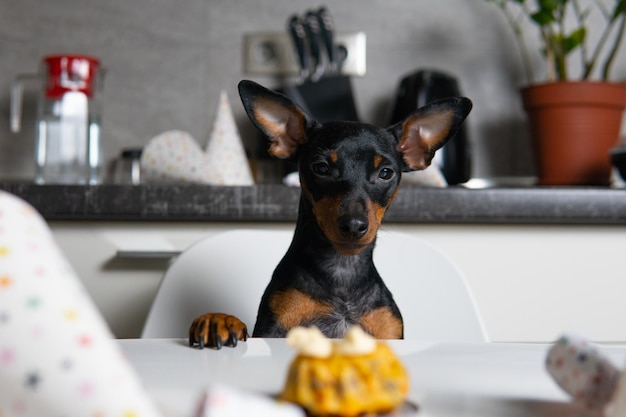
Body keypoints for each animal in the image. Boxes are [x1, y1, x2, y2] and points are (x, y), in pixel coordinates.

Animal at [188, 79, 470, 348]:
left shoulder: (389, 332)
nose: (354, 225)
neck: (342, 271)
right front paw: (220, 321)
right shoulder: (273, 329)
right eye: (322, 168)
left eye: (386, 173)